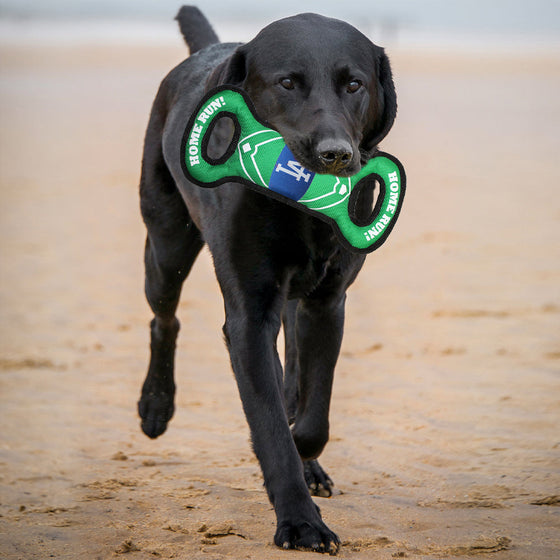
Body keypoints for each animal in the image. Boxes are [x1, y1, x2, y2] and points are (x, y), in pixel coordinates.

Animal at [138, 4, 396, 552]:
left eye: (354, 84)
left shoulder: (327, 303)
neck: (301, 211)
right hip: (167, 246)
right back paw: (155, 405)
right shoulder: (250, 316)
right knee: (164, 318)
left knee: (294, 372)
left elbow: (312, 415)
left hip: (295, 303)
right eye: (287, 83)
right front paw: (301, 522)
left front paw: (307, 459)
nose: (336, 154)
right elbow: (272, 423)